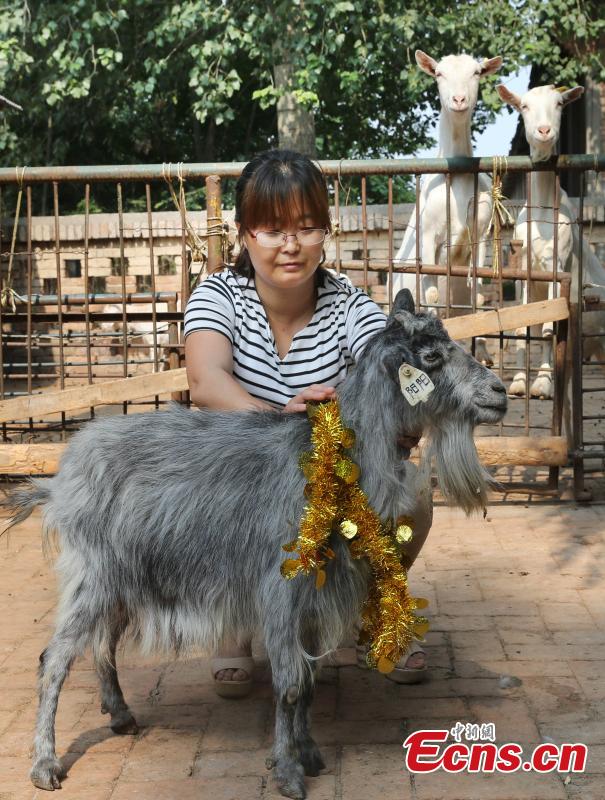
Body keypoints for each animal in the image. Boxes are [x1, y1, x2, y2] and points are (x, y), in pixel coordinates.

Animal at [4, 290, 504, 796]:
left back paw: (121, 716)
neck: (332, 463)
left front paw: (309, 754)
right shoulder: (282, 588)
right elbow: (291, 682)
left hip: (125, 578)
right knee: (54, 658)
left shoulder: (316, 597)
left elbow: (310, 680)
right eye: (432, 357)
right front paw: (287, 772)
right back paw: (45, 764)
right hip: (94, 573)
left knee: (102, 643)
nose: (499, 393)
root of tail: (61, 478)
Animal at [392, 49, 500, 362]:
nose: (459, 100)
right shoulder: (429, 234)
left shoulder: (482, 233)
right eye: (439, 73)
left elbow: (478, 293)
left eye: (477, 72)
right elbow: (431, 296)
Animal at [496, 83, 604, 396]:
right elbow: (522, 327)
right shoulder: (523, 270)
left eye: (559, 104)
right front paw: (519, 383)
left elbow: (547, 328)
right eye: (524, 106)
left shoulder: (557, 264)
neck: (543, 211)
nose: (544, 131)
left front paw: (543, 383)